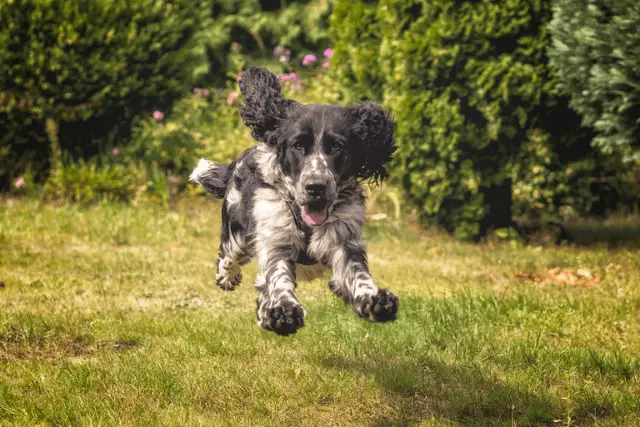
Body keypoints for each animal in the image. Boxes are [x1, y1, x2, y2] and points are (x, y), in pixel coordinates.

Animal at [190, 67, 400, 336]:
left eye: (337, 146)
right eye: (298, 145)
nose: (316, 187)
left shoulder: (343, 239)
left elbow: (358, 273)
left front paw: (374, 300)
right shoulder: (275, 238)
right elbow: (277, 276)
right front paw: (284, 311)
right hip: (236, 230)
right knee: (229, 255)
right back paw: (230, 277)